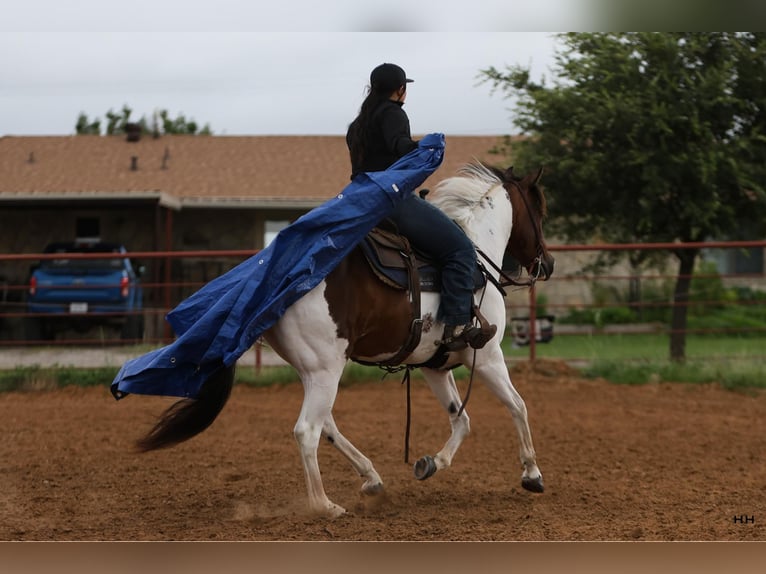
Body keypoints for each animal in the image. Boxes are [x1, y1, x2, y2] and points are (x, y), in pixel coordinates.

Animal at [135, 162, 555, 518]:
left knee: (327, 426)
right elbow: (518, 406)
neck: (478, 260)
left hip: (315, 370)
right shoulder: (487, 356)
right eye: (541, 212)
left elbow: (461, 419)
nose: (546, 264)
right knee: (307, 431)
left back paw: (371, 479)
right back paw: (325, 505)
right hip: (326, 369)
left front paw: (430, 463)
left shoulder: (435, 367)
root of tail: (279, 284)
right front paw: (532, 475)